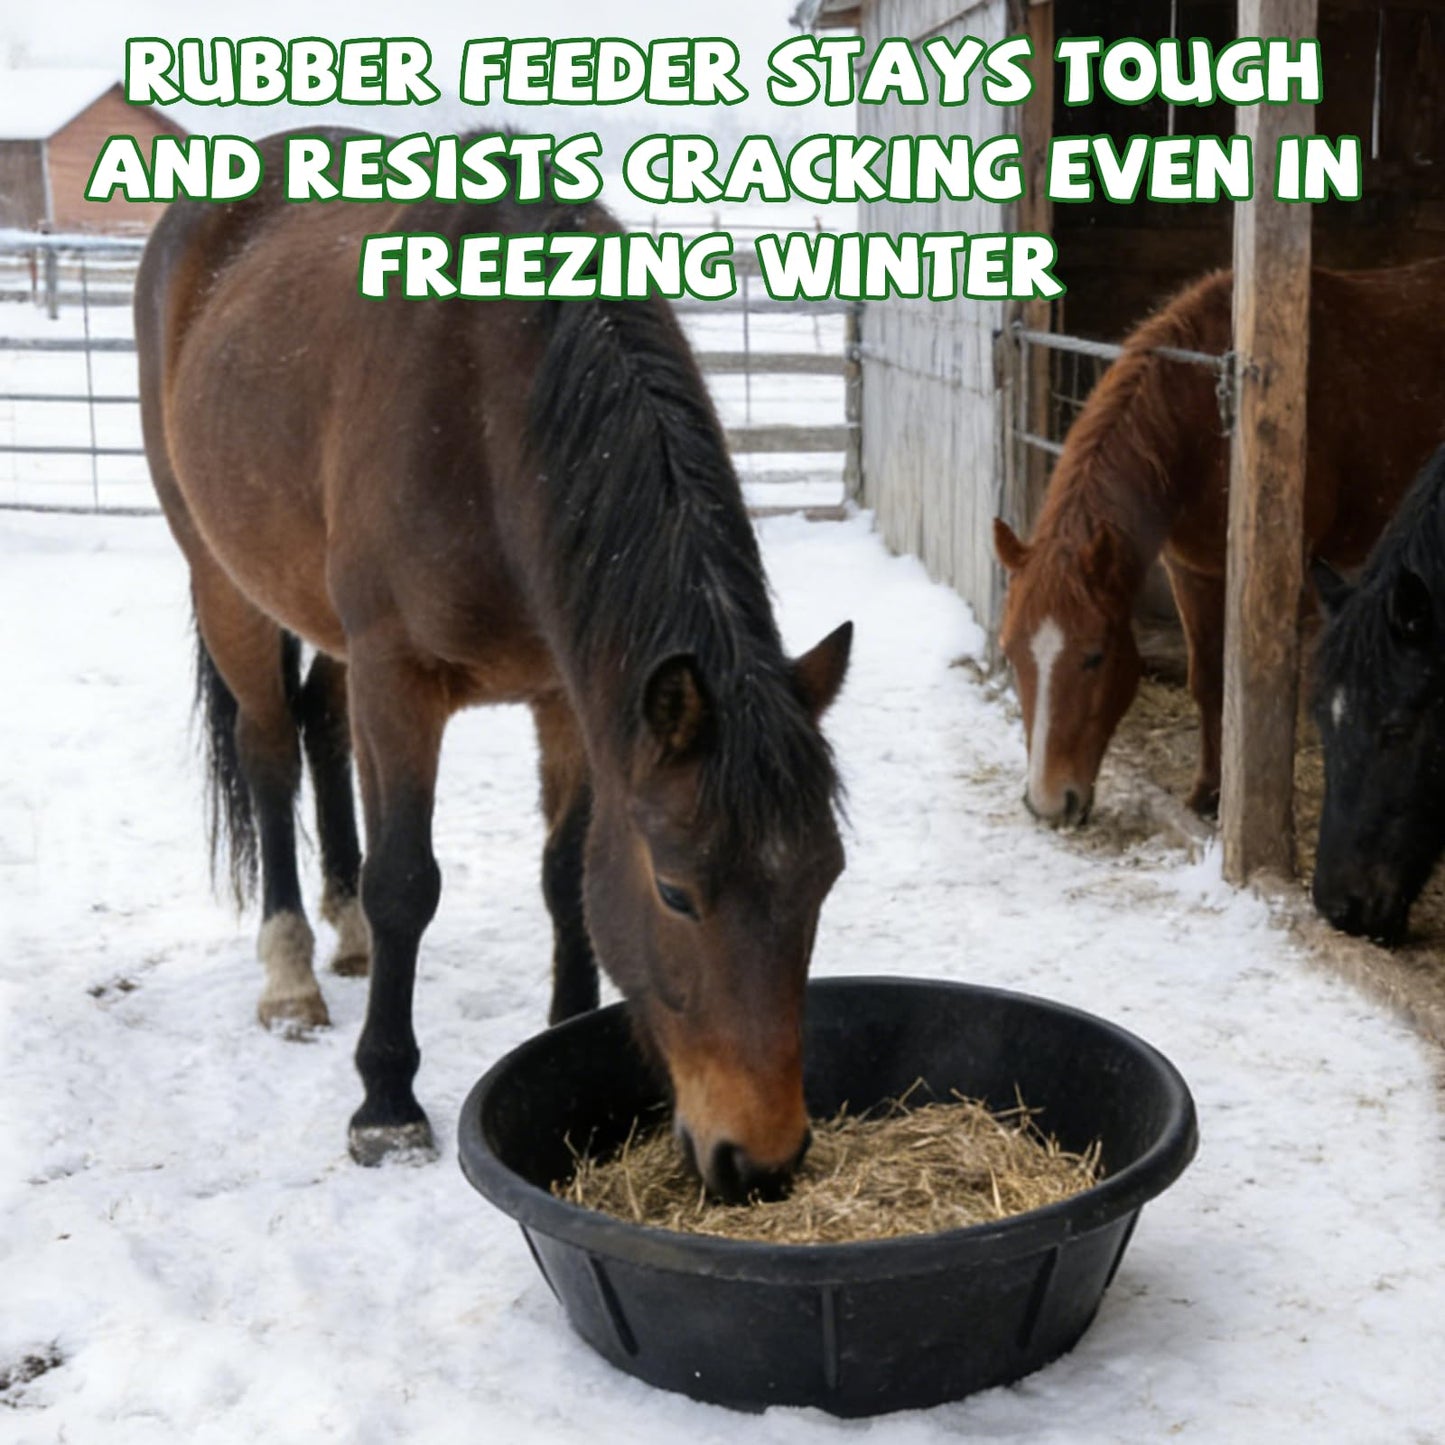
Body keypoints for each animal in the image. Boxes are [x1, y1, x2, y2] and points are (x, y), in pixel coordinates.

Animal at [134, 129, 854, 1201]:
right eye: (677, 892)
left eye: (823, 881)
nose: (761, 1161)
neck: (484, 412)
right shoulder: (400, 677)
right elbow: (406, 881)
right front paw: (385, 1105)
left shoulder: (571, 695)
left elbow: (565, 874)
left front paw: (565, 1032)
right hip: (225, 582)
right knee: (268, 750)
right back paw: (292, 976)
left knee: (321, 728)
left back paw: (344, 935)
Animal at [993, 257, 1445, 826]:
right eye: (1010, 652)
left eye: (1094, 656)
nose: (1049, 804)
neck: (1202, 421)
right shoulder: (1192, 571)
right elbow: (1208, 680)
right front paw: (1207, 793)